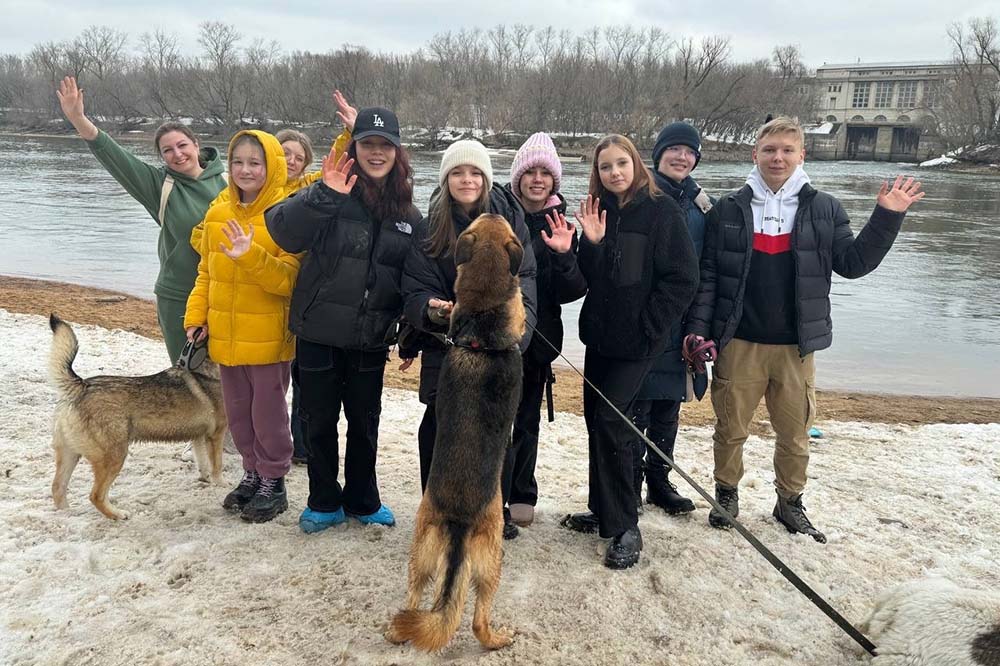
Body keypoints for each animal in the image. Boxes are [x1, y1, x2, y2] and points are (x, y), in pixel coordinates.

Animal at [48, 312, 227, 520]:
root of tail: (81, 386)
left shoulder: (199, 436)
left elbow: (203, 463)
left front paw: (206, 480)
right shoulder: (216, 435)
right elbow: (217, 465)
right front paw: (222, 484)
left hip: (71, 455)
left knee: (57, 488)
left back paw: (67, 515)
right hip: (115, 456)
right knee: (95, 495)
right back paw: (118, 514)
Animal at [386, 215, 528, 652]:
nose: (494, 209)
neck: (482, 318)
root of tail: (460, 523)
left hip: (421, 549)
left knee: (417, 598)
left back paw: (399, 629)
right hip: (493, 558)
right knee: (478, 618)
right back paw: (499, 638)